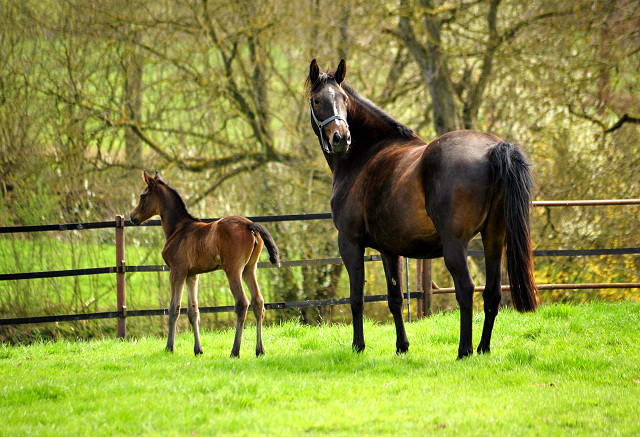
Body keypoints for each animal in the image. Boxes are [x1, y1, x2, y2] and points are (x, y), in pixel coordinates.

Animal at [130, 169, 280, 356]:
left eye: (142, 196)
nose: (132, 217)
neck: (178, 229)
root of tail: (249, 224)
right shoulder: (192, 275)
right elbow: (193, 312)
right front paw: (198, 350)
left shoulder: (177, 272)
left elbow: (174, 309)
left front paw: (169, 347)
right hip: (249, 268)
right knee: (258, 302)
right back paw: (260, 350)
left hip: (233, 269)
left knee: (242, 303)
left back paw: (235, 351)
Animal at [308, 58, 536, 358]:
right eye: (317, 100)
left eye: (344, 99)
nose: (341, 139)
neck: (366, 155)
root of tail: (493, 149)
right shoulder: (389, 250)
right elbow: (395, 298)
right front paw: (402, 346)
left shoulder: (350, 242)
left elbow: (356, 297)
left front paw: (358, 346)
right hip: (494, 238)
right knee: (493, 293)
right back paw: (483, 348)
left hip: (455, 244)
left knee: (466, 289)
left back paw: (464, 350)